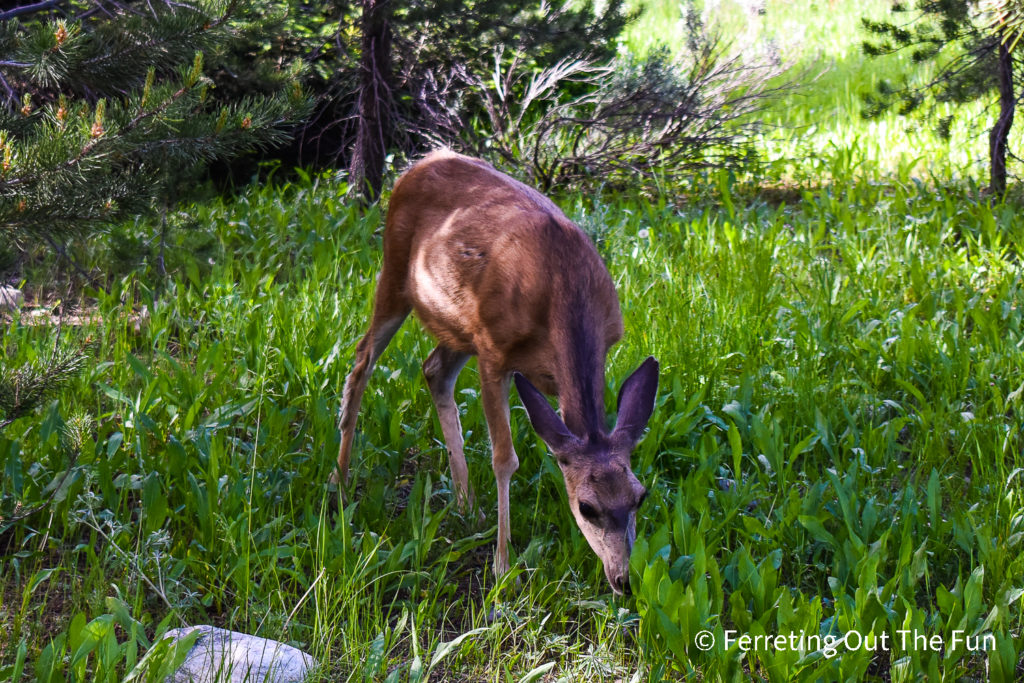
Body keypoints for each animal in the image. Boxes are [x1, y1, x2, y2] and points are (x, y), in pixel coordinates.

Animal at [331, 150, 659, 598]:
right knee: (362, 359)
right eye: (587, 507)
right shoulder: (493, 351)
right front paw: (504, 567)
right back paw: (341, 478)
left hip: (456, 325)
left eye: (640, 497)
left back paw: (467, 503)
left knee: (433, 370)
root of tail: (421, 163)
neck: (564, 285)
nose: (623, 580)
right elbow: (505, 458)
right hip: (396, 273)